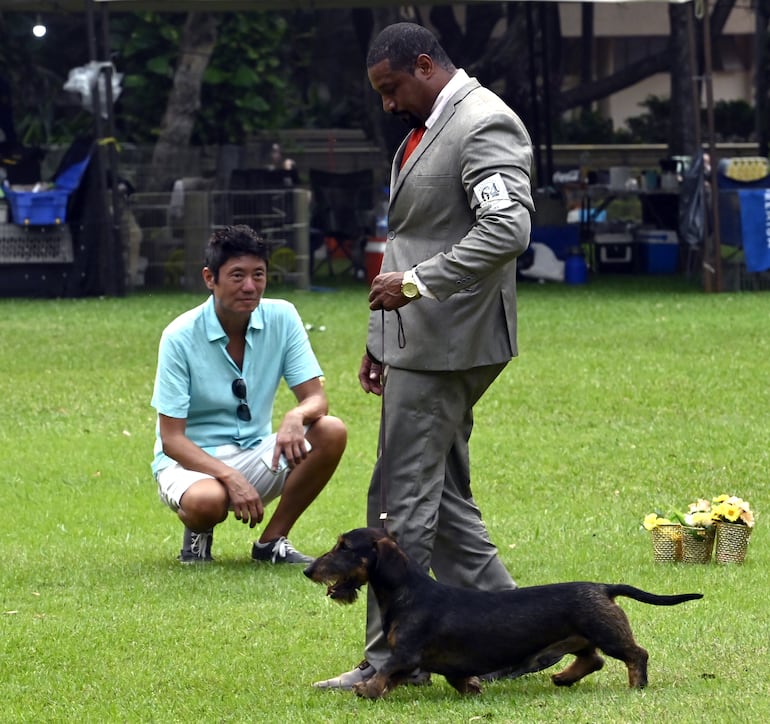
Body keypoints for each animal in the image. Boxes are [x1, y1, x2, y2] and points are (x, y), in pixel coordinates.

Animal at [304, 528, 700, 700]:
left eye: (343, 546)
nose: (308, 571)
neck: (408, 592)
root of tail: (602, 587)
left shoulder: (406, 654)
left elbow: (386, 671)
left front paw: (367, 689)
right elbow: (458, 678)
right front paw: (473, 688)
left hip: (607, 633)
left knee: (636, 655)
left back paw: (637, 685)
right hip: (581, 637)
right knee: (593, 660)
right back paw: (563, 678)